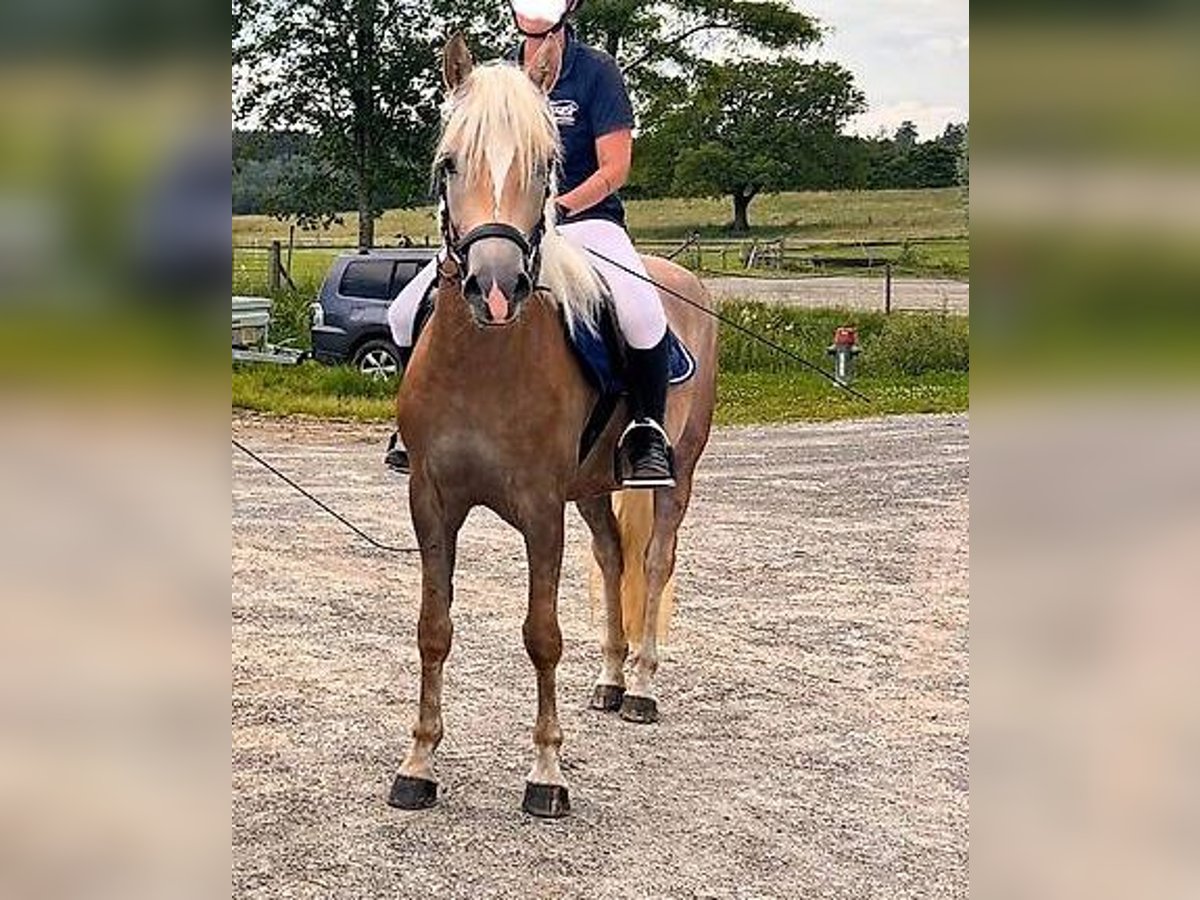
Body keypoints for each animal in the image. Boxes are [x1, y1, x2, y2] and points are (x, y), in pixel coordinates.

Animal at [388, 38, 715, 820]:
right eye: (450, 162)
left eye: (545, 164)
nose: (495, 286)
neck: (485, 360)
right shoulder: (431, 501)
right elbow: (433, 629)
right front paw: (419, 763)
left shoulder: (540, 510)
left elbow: (542, 635)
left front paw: (546, 773)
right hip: (592, 489)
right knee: (613, 557)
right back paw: (612, 681)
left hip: (677, 476)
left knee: (655, 562)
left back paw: (643, 688)